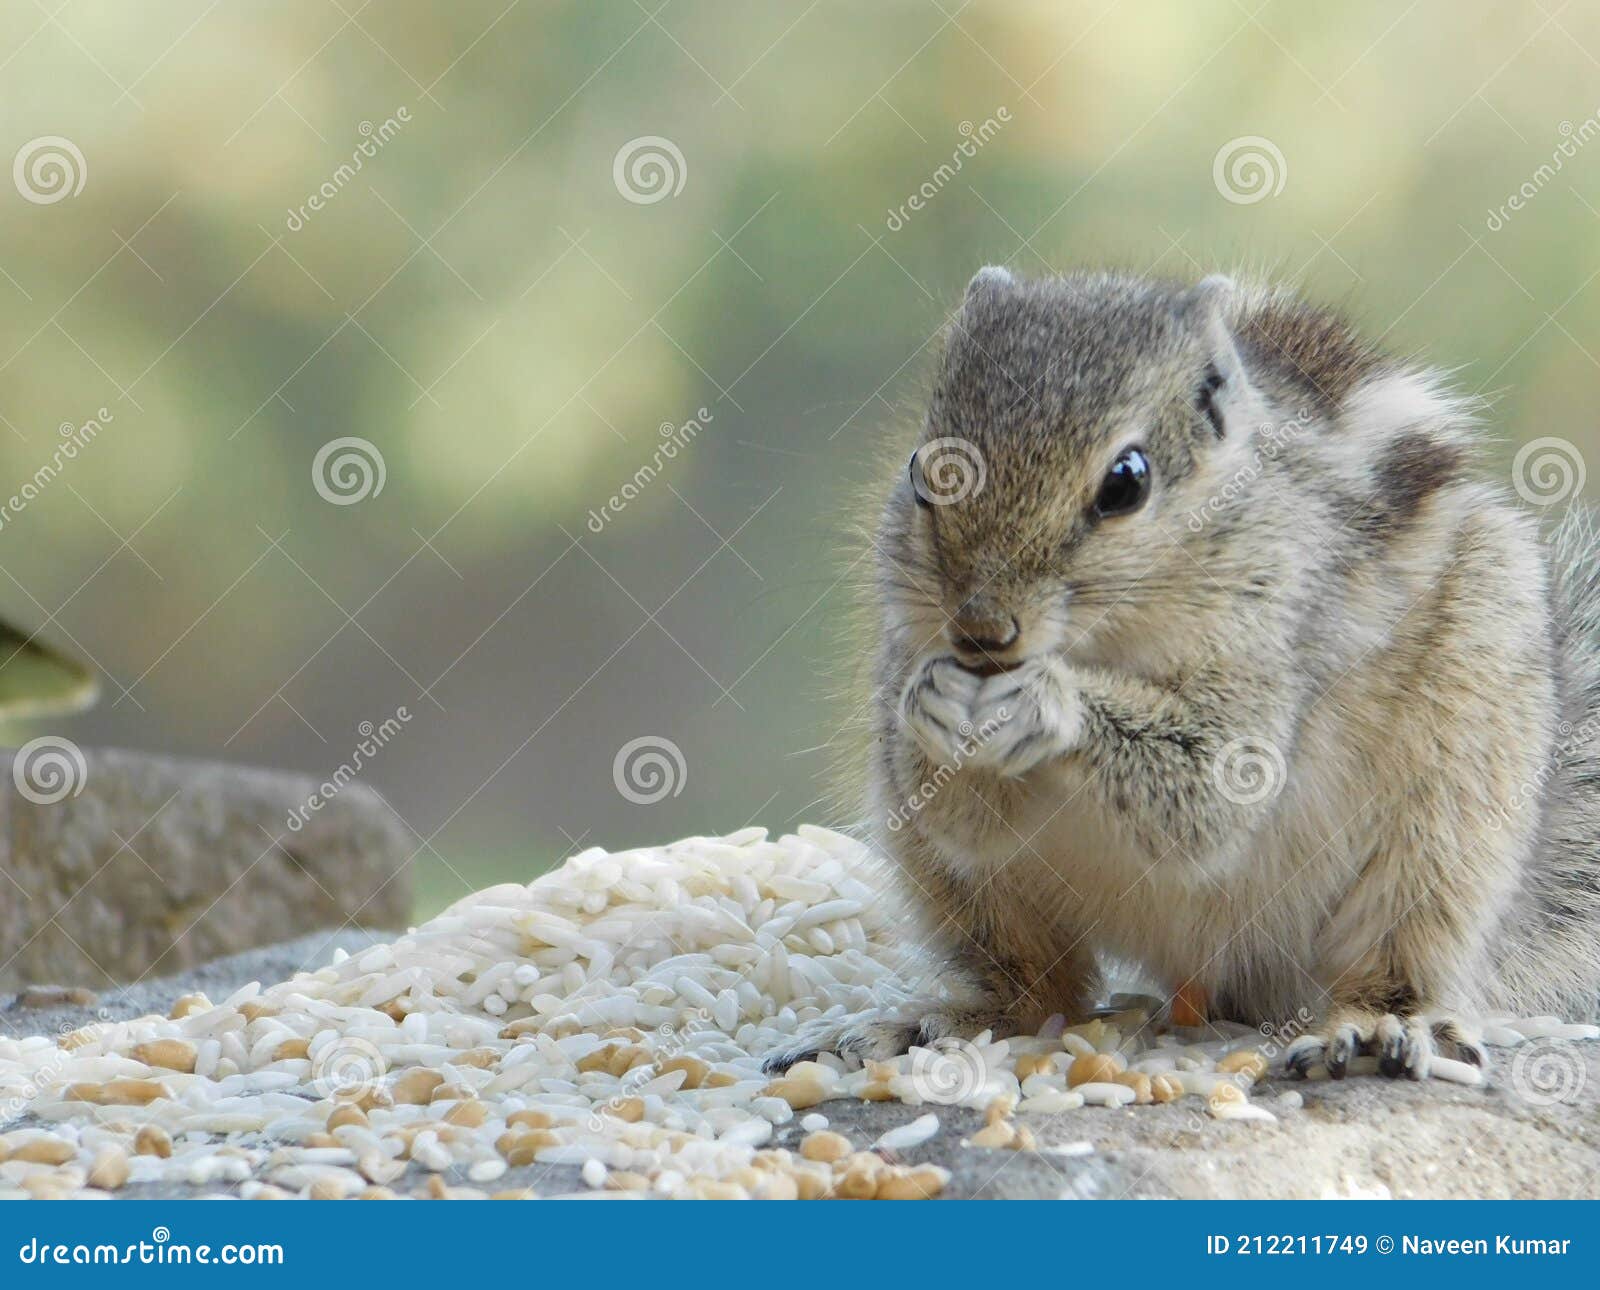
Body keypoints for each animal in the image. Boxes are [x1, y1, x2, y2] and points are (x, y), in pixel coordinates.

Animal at [768, 262, 1593, 1081]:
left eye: (1127, 481)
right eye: (920, 471)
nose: (982, 633)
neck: (1107, 641)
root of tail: (1216, 974)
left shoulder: (1273, 636)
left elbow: (1213, 785)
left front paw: (1049, 703)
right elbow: (956, 813)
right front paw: (931, 705)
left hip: (1447, 825)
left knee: (1399, 954)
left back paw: (1370, 1025)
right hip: (958, 886)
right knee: (1041, 991)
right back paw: (933, 1022)